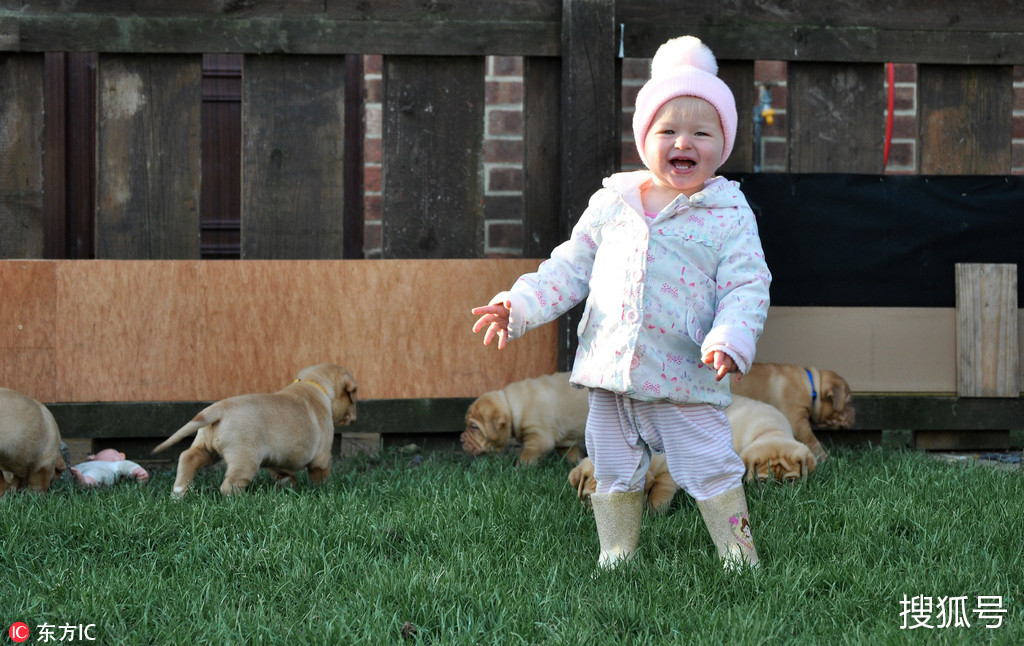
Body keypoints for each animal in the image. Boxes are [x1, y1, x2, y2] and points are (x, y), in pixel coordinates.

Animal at [149, 364, 360, 499]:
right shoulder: (322, 456)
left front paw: (287, 487)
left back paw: (179, 492)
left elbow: (283, 473)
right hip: (245, 459)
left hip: (206, 448)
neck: (314, 385)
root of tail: (218, 409)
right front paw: (323, 489)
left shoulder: (278, 458)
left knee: (188, 457)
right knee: (229, 485)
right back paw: (240, 501)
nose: (355, 416)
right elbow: (320, 474)